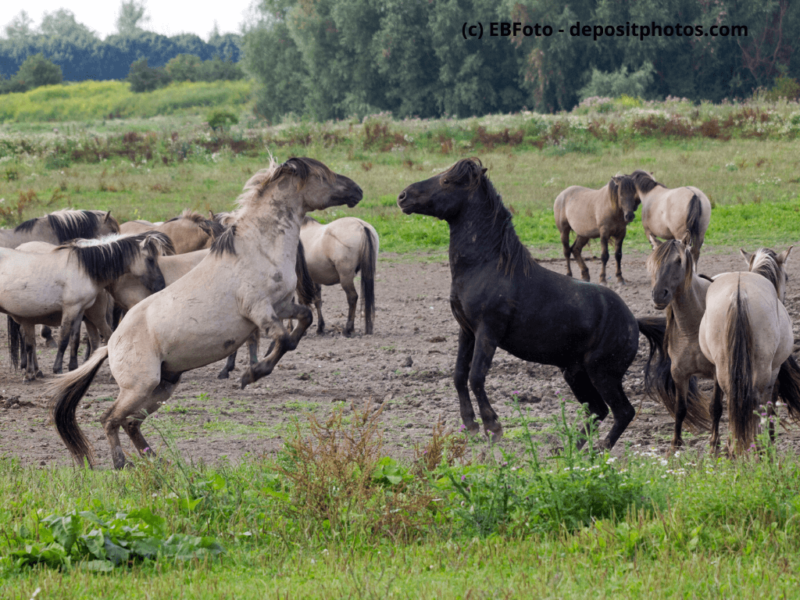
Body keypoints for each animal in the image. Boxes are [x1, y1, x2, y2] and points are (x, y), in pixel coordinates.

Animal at [1, 232, 173, 382]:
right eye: (150, 259)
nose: (161, 285)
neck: (83, 269)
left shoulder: (79, 311)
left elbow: (74, 339)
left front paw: (73, 368)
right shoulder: (70, 309)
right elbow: (64, 339)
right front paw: (58, 369)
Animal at [49, 157, 363, 469]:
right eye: (323, 176)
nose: (357, 190)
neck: (258, 250)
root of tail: (111, 345)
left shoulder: (282, 305)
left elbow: (303, 322)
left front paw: (255, 369)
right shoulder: (259, 310)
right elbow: (284, 339)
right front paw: (250, 375)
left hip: (163, 387)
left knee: (131, 423)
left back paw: (156, 459)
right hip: (140, 386)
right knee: (110, 418)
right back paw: (122, 463)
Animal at [397, 158, 661, 448]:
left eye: (446, 181)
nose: (402, 197)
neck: (486, 266)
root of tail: (633, 322)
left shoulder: (487, 331)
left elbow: (476, 377)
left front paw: (492, 425)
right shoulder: (466, 331)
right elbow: (458, 376)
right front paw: (471, 425)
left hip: (603, 374)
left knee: (622, 411)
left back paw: (599, 450)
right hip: (575, 373)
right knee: (598, 410)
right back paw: (573, 450)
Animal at [643, 236, 713, 452]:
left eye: (679, 261)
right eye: (652, 262)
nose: (659, 294)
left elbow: (716, 407)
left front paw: (715, 444)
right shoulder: (679, 373)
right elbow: (680, 408)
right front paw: (674, 445)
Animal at [698, 247, 800, 453]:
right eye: (786, 277)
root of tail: (739, 293)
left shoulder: (715, 366)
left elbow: (715, 405)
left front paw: (714, 445)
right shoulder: (774, 370)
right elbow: (769, 406)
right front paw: (769, 441)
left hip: (724, 365)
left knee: (733, 399)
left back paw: (732, 447)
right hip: (762, 367)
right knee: (754, 403)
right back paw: (756, 447)